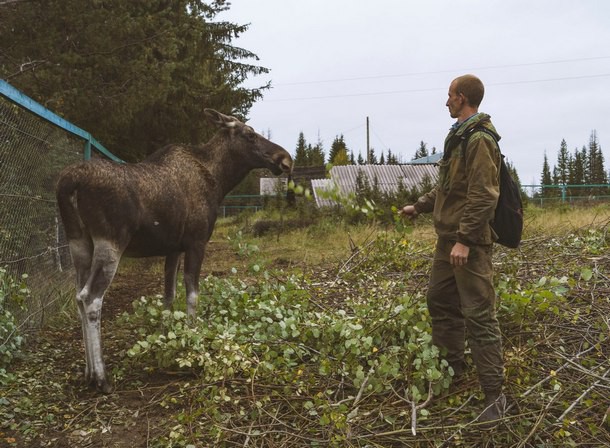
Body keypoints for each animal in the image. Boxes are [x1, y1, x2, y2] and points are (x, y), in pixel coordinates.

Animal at [56, 108, 292, 392]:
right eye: (249, 134)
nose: (285, 159)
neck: (219, 181)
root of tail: (69, 184)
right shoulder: (196, 242)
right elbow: (192, 295)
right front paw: (192, 344)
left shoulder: (173, 248)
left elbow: (168, 296)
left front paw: (165, 340)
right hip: (110, 243)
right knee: (90, 299)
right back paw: (101, 378)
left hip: (79, 244)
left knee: (78, 296)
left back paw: (88, 373)